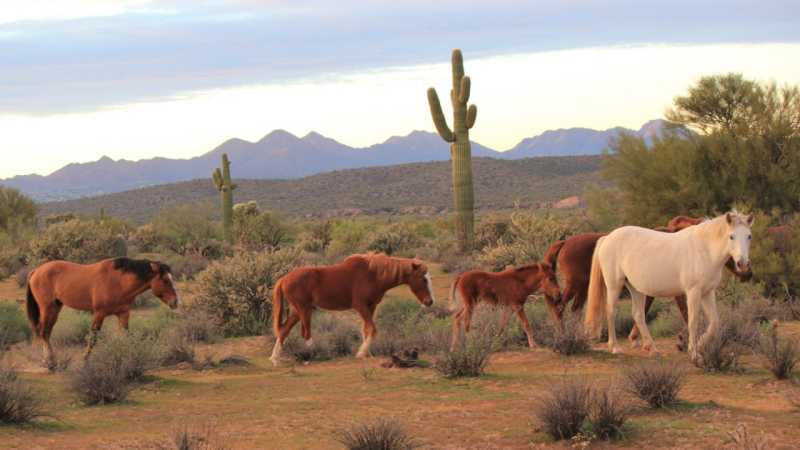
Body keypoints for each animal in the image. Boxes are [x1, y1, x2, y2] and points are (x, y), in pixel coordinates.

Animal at [26, 257, 180, 364]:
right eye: (165, 280)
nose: (176, 302)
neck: (118, 281)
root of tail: (36, 271)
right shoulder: (99, 313)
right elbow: (93, 337)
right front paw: (86, 358)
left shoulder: (123, 313)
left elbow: (126, 336)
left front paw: (128, 356)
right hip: (47, 308)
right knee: (44, 332)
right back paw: (49, 360)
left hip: (56, 307)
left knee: (47, 333)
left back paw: (50, 358)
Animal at [270, 253, 435, 366]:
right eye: (423, 279)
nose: (430, 301)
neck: (373, 274)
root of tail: (283, 279)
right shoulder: (361, 306)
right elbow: (372, 329)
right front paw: (361, 353)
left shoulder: (371, 307)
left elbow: (366, 330)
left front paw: (367, 354)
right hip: (305, 310)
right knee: (305, 334)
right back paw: (320, 354)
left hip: (297, 311)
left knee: (283, 331)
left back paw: (276, 359)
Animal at [544, 219, 751, 348]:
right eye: (730, 238)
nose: (747, 271)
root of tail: (565, 242)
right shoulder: (680, 291)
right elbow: (684, 313)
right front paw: (685, 341)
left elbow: (642, 312)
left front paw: (639, 340)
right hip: (583, 285)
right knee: (561, 307)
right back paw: (568, 337)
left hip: (585, 289)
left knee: (575, 311)